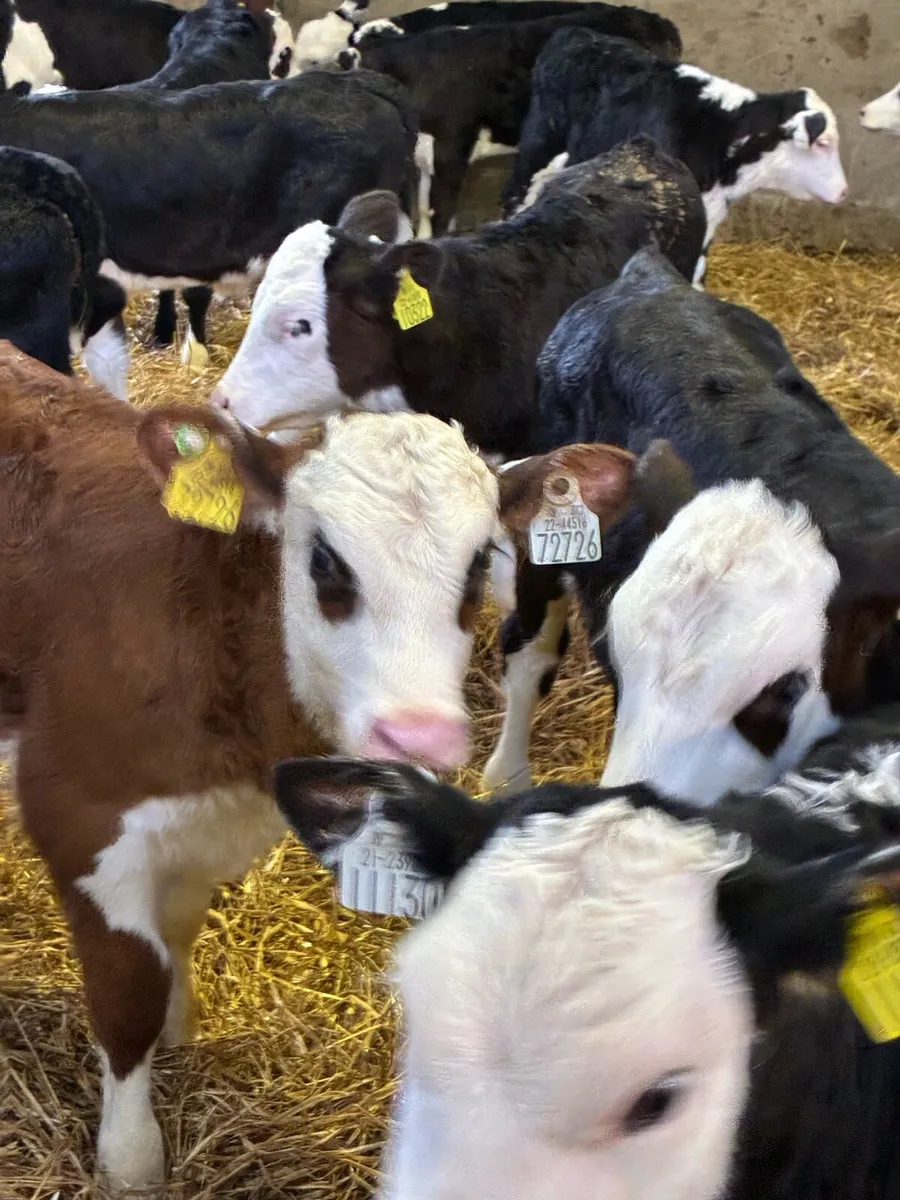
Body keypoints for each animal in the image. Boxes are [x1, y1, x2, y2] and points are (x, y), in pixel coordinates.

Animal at [0, 339, 679, 1190]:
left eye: (478, 564)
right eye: (324, 560)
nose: (417, 736)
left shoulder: (200, 827)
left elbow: (177, 935)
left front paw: (182, 1026)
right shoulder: (82, 815)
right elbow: (129, 993)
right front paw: (131, 1158)